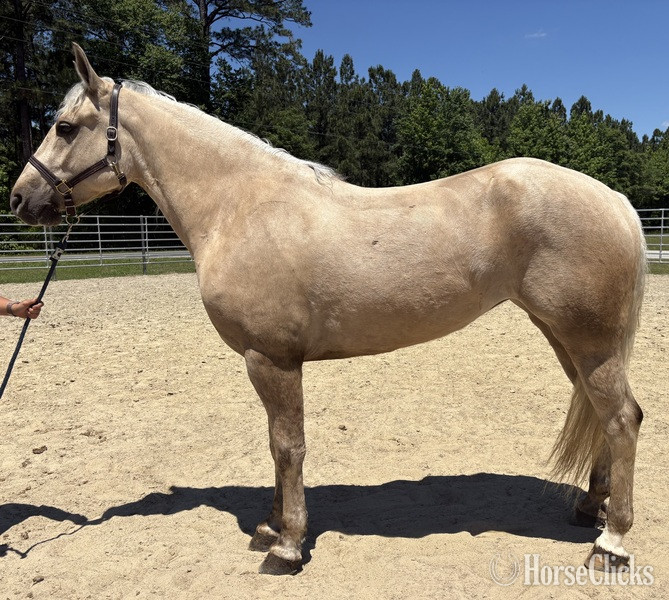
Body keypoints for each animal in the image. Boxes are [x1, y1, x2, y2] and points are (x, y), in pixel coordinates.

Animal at [10, 44, 646, 575]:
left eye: (65, 127)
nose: (19, 198)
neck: (241, 206)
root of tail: (613, 198)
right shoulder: (265, 361)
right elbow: (275, 444)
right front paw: (270, 529)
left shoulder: (271, 359)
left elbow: (287, 447)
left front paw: (288, 546)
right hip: (566, 338)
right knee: (600, 416)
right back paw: (590, 509)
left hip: (588, 342)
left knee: (621, 420)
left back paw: (612, 542)